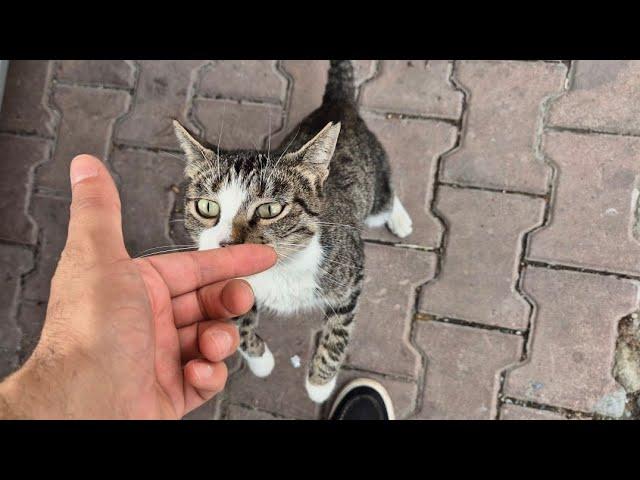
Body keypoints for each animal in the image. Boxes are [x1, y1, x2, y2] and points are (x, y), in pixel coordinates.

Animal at [172, 61, 412, 404]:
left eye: (270, 210)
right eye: (207, 207)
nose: (227, 245)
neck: (278, 273)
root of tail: (338, 104)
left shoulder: (351, 277)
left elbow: (338, 333)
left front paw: (320, 384)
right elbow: (237, 321)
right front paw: (260, 360)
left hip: (375, 191)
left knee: (387, 197)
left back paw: (400, 219)